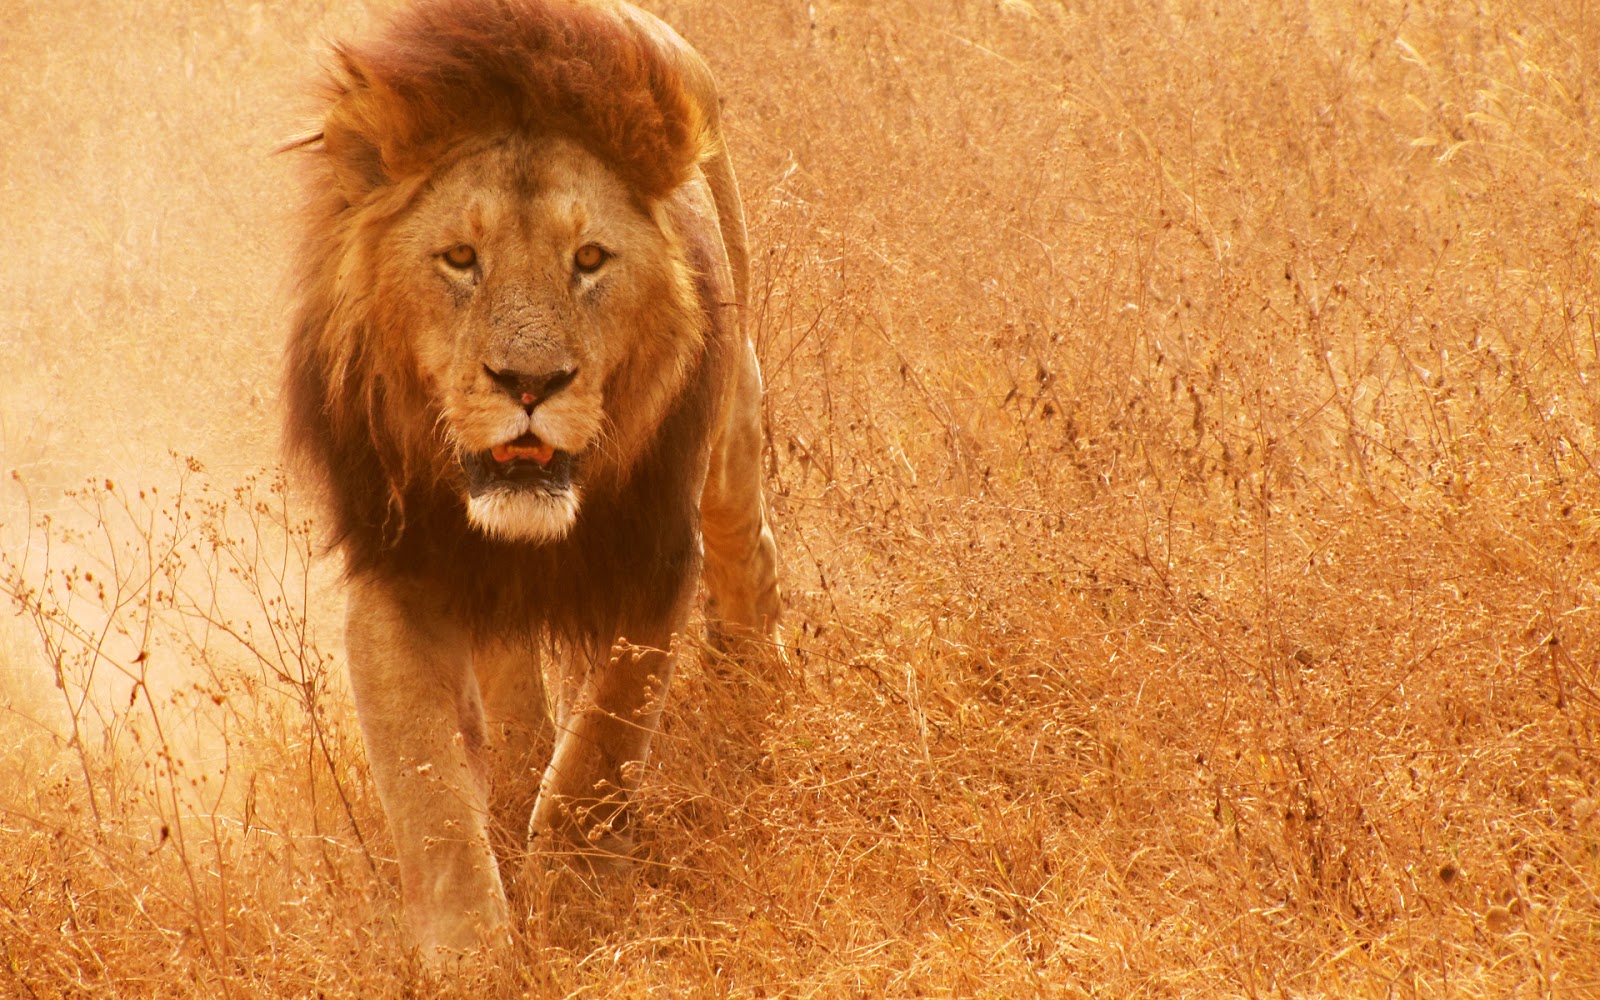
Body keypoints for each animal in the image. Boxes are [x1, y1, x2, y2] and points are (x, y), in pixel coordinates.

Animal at [282, 0, 780, 956]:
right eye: (458, 258)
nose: (528, 382)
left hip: (734, 413)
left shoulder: (656, 559)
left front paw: (583, 905)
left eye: (589, 258)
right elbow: (429, 792)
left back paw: (758, 685)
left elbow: (599, 750)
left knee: (748, 541)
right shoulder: (397, 572)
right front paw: (470, 955)